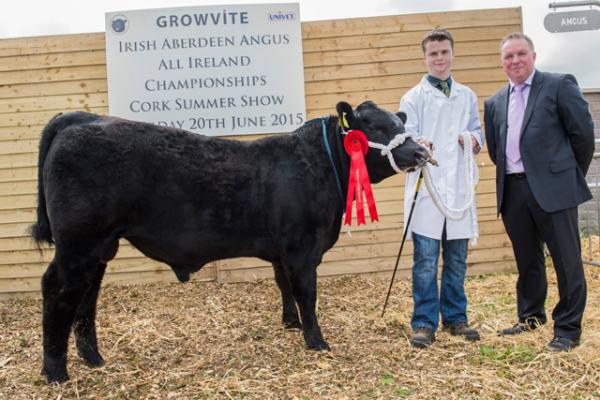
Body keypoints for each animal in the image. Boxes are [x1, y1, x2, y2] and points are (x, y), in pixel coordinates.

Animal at [31, 100, 426, 382]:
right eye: (376, 126)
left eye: (402, 124)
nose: (421, 152)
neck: (321, 165)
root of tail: (82, 118)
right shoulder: (303, 249)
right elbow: (307, 292)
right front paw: (316, 341)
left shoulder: (282, 251)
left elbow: (283, 284)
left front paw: (291, 323)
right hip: (79, 243)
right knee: (58, 289)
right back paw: (55, 372)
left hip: (100, 246)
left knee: (87, 295)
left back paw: (93, 358)